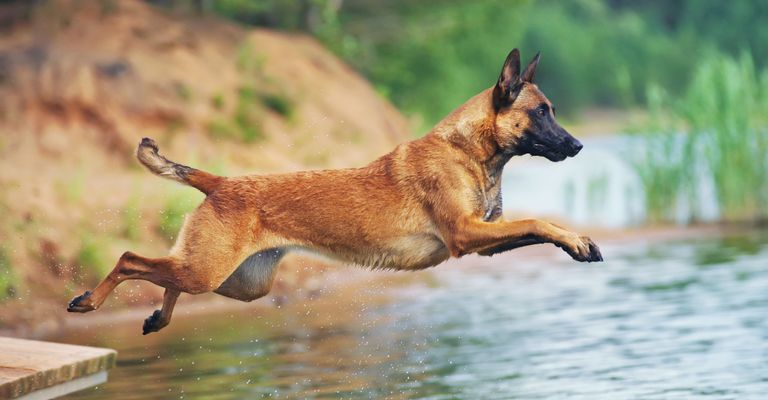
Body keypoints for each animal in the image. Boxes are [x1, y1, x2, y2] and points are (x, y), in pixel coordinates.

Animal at [67, 47, 600, 334]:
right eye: (541, 112)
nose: (578, 145)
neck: (469, 150)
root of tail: (220, 182)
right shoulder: (467, 236)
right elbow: (538, 219)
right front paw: (577, 239)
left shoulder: (483, 240)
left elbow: (533, 224)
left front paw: (574, 242)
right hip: (209, 269)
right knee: (131, 259)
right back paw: (89, 301)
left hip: (238, 282)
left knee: (167, 275)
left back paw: (158, 318)